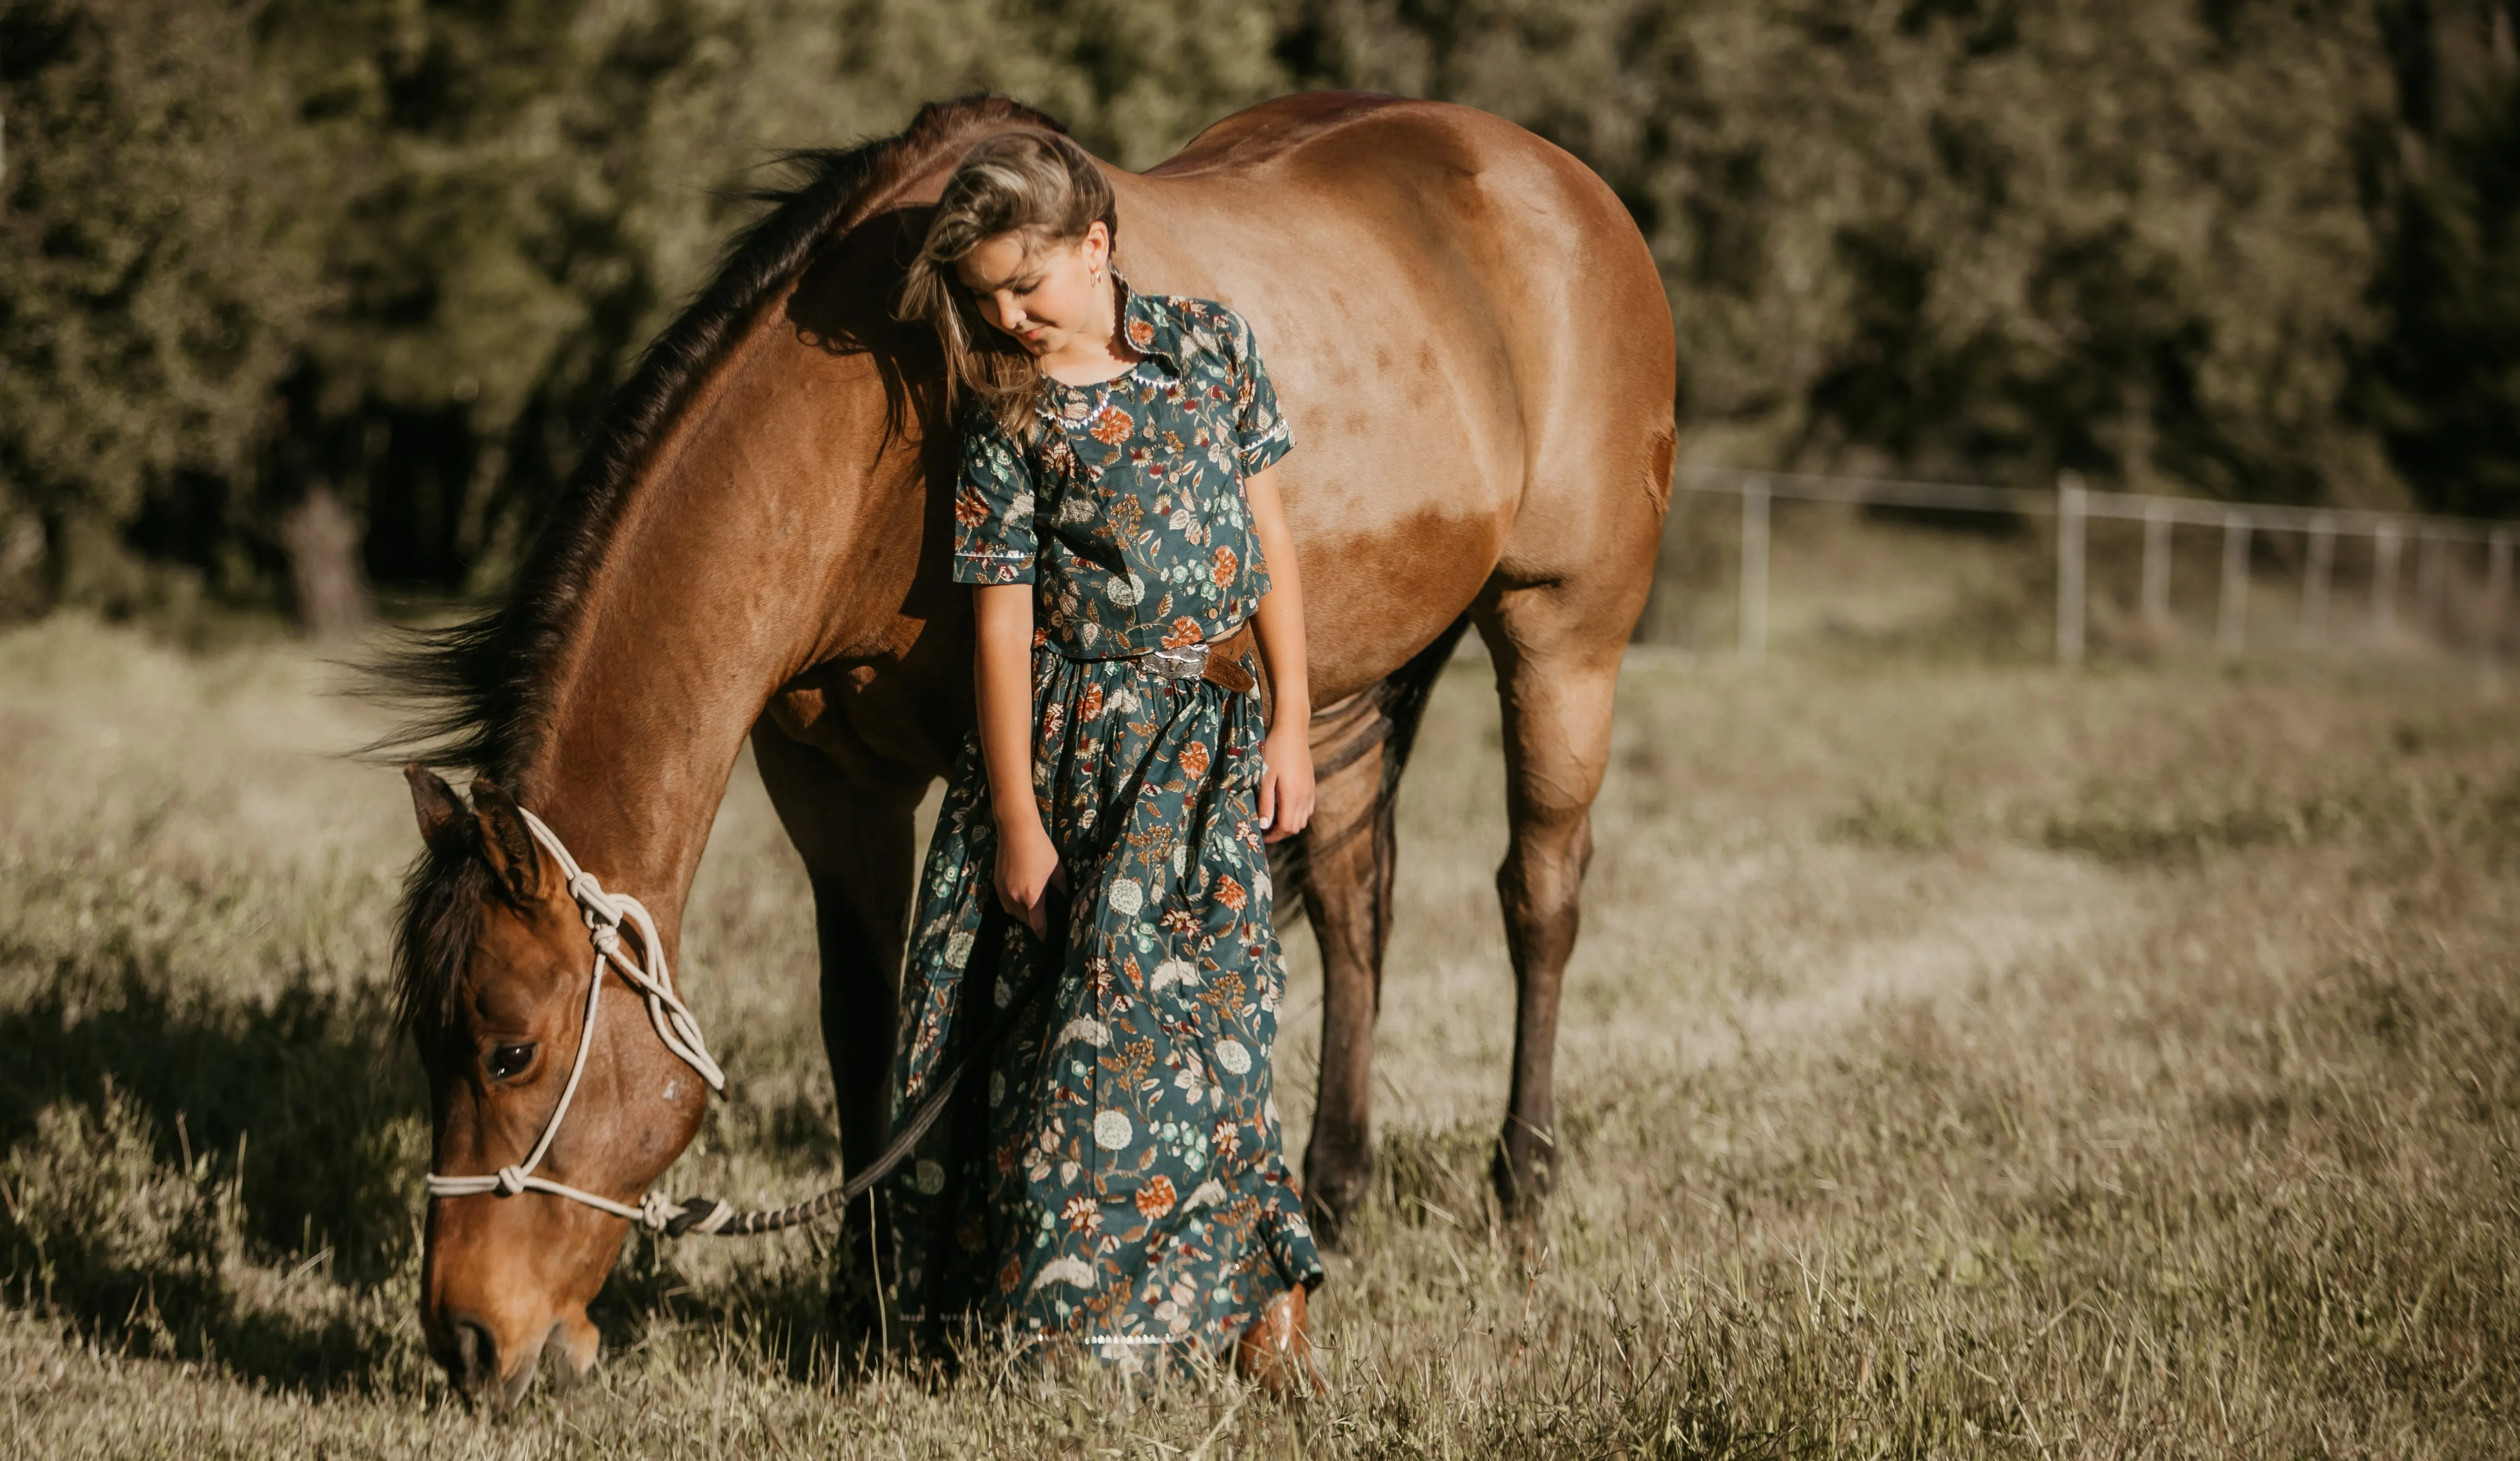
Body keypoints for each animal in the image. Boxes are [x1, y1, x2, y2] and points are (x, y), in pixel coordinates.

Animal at [388, 94, 1673, 1400]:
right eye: (428, 1046)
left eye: (509, 1051)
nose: (469, 1342)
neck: (868, 441)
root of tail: (1557, 181)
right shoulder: (827, 777)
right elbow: (862, 1015)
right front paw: (868, 1301)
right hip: (1337, 695)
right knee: (1357, 906)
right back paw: (1329, 1203)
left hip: (1562, 635)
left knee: (1539, 898)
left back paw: (1519, 1199)